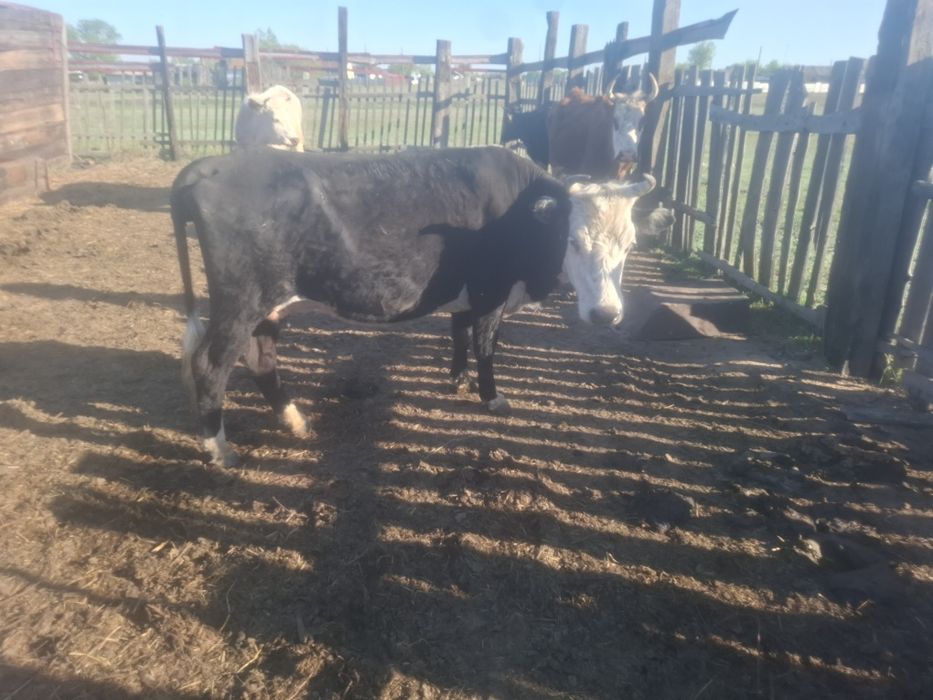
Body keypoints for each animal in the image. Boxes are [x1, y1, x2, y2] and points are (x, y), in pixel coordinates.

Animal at [171, 146, 657, 466]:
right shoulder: (491, 291)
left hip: (266, 307)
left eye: (631, 244)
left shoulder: (468, 292)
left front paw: (457, 380)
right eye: (572, 241)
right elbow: (485, 344)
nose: (606, 314)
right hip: (240, 302)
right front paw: (492, 397)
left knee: (261, 360)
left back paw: (294, 421)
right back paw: (220, 449)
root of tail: (213, 164)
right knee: (209, 365)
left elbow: (459, 333)